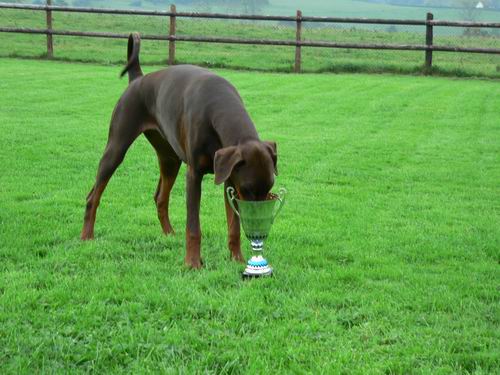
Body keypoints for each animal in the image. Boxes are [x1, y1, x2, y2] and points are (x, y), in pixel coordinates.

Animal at [81, 33, 278, 268]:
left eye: (269, 188)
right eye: (248, 189)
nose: (257, 227)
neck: (218, 108)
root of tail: (138, 78)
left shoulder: (230, 179)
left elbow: (233, 226)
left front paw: (237, 259)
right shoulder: (195, 175)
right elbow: (193, 227)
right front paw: (192, 263)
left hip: (170, 159)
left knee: (160, 197)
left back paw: (169, 233)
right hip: (116, 146)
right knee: (93, 195)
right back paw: (86, 236)